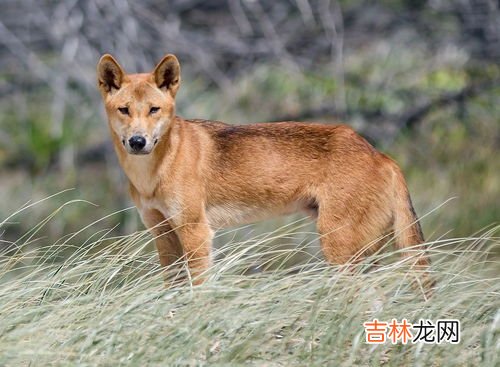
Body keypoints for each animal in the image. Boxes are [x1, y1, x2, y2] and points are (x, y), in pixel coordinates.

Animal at [97, 53, 430, 286]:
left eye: (154, 110)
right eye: (124, 110)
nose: (138, 141)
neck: (153, 174)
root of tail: (382, 155)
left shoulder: (196, 232)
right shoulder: (162, 233)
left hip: (338, 247)